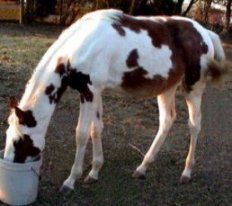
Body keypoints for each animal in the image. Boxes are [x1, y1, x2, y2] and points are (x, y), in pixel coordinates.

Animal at [2, 8, 229, 191]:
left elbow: (81, 134)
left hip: (193, 88)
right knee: (167, 121)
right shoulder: (95, 92)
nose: (10, 163)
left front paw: (71, 181)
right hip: (167, 88)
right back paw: (142, 168)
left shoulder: (89, 92)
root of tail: (205, 33)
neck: (82, 45)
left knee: (194, 125)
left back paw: (186, 172)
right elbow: (96, 129)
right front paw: (94, 172)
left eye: (18, 140)